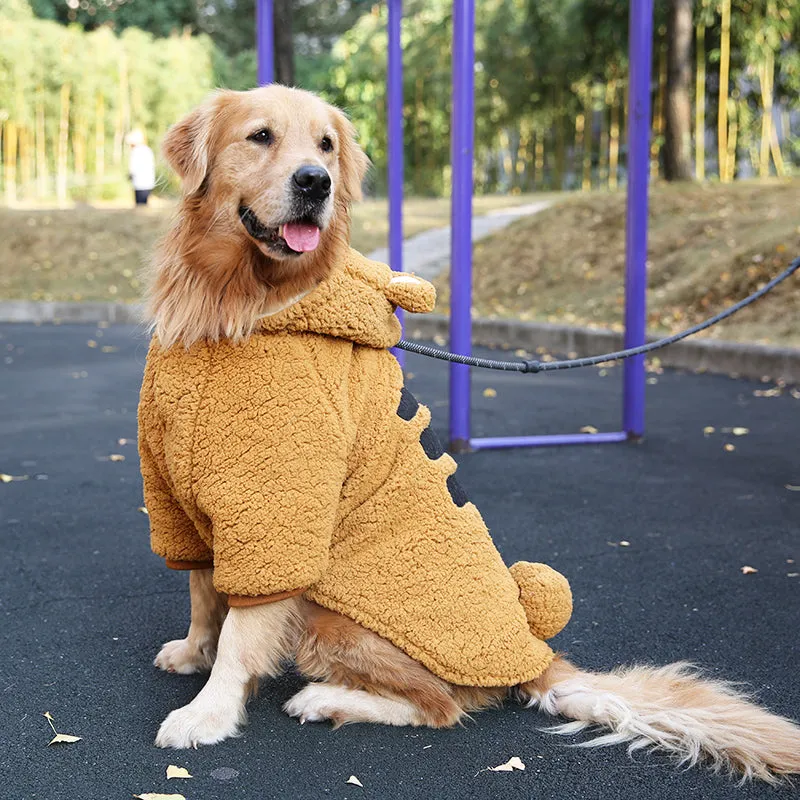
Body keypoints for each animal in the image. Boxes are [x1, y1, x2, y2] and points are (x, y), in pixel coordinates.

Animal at [144, 86, 800, 780]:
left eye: (325, 146)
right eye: (261, 136)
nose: (315, 182)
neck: (235, 306)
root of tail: (536, 654)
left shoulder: (278, 506)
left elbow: (243, 629)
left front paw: (208, 713)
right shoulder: (176, 495)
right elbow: (202, 592)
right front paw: (193, 651)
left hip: (334, 615)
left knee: (441, 705)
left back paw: (327, 698)